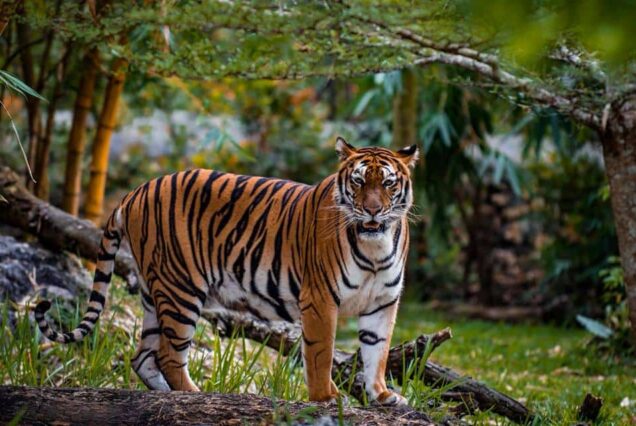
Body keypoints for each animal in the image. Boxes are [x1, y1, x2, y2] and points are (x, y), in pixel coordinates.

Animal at [37, 137, 420, 406]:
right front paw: (326, 398)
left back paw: (166, 395)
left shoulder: (383, 303)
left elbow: (377, 351)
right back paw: (193, 395)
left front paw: (383, 395)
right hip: (181, 289)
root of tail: (136, 191)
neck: (375, 248)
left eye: (387, 184)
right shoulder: (320, 299)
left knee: (143, 355)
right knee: (168, 354)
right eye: (358, 182)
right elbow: (321, 352)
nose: (372, 211)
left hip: (152, 292)